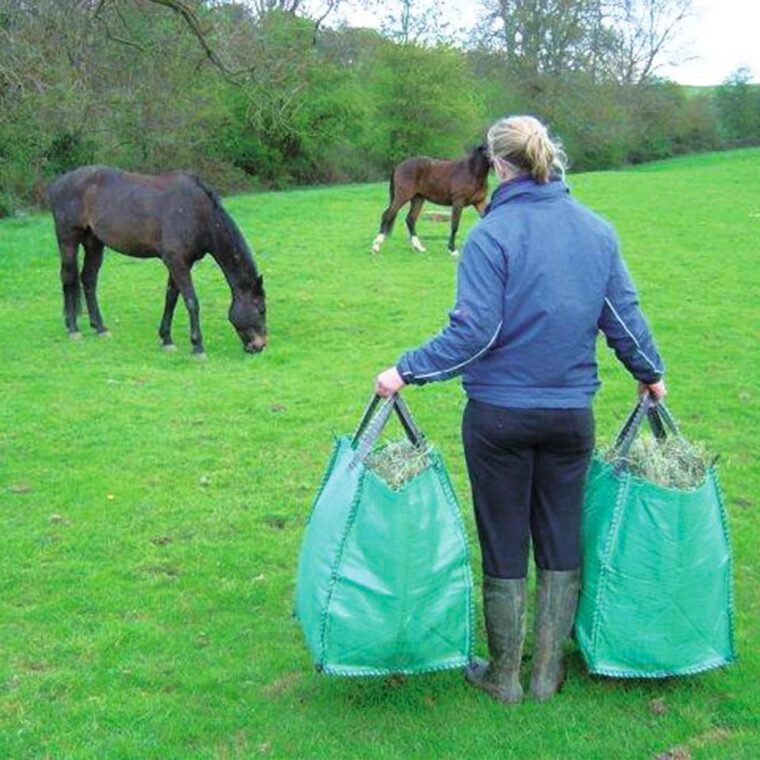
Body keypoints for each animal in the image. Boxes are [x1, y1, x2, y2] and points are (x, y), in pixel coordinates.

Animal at [46, 165, 268, 354]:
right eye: (261, 310)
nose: (260, 345)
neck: (198, 214)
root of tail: (56, 184)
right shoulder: (176, 261)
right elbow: (191, 301)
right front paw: (197, 346)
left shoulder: (181, 263)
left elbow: (171, 298)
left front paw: (166, 339)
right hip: (68, 238)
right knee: (68, 277)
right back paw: (73, 329)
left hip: (93, 242)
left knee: (88, 279)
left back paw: (99, 327)